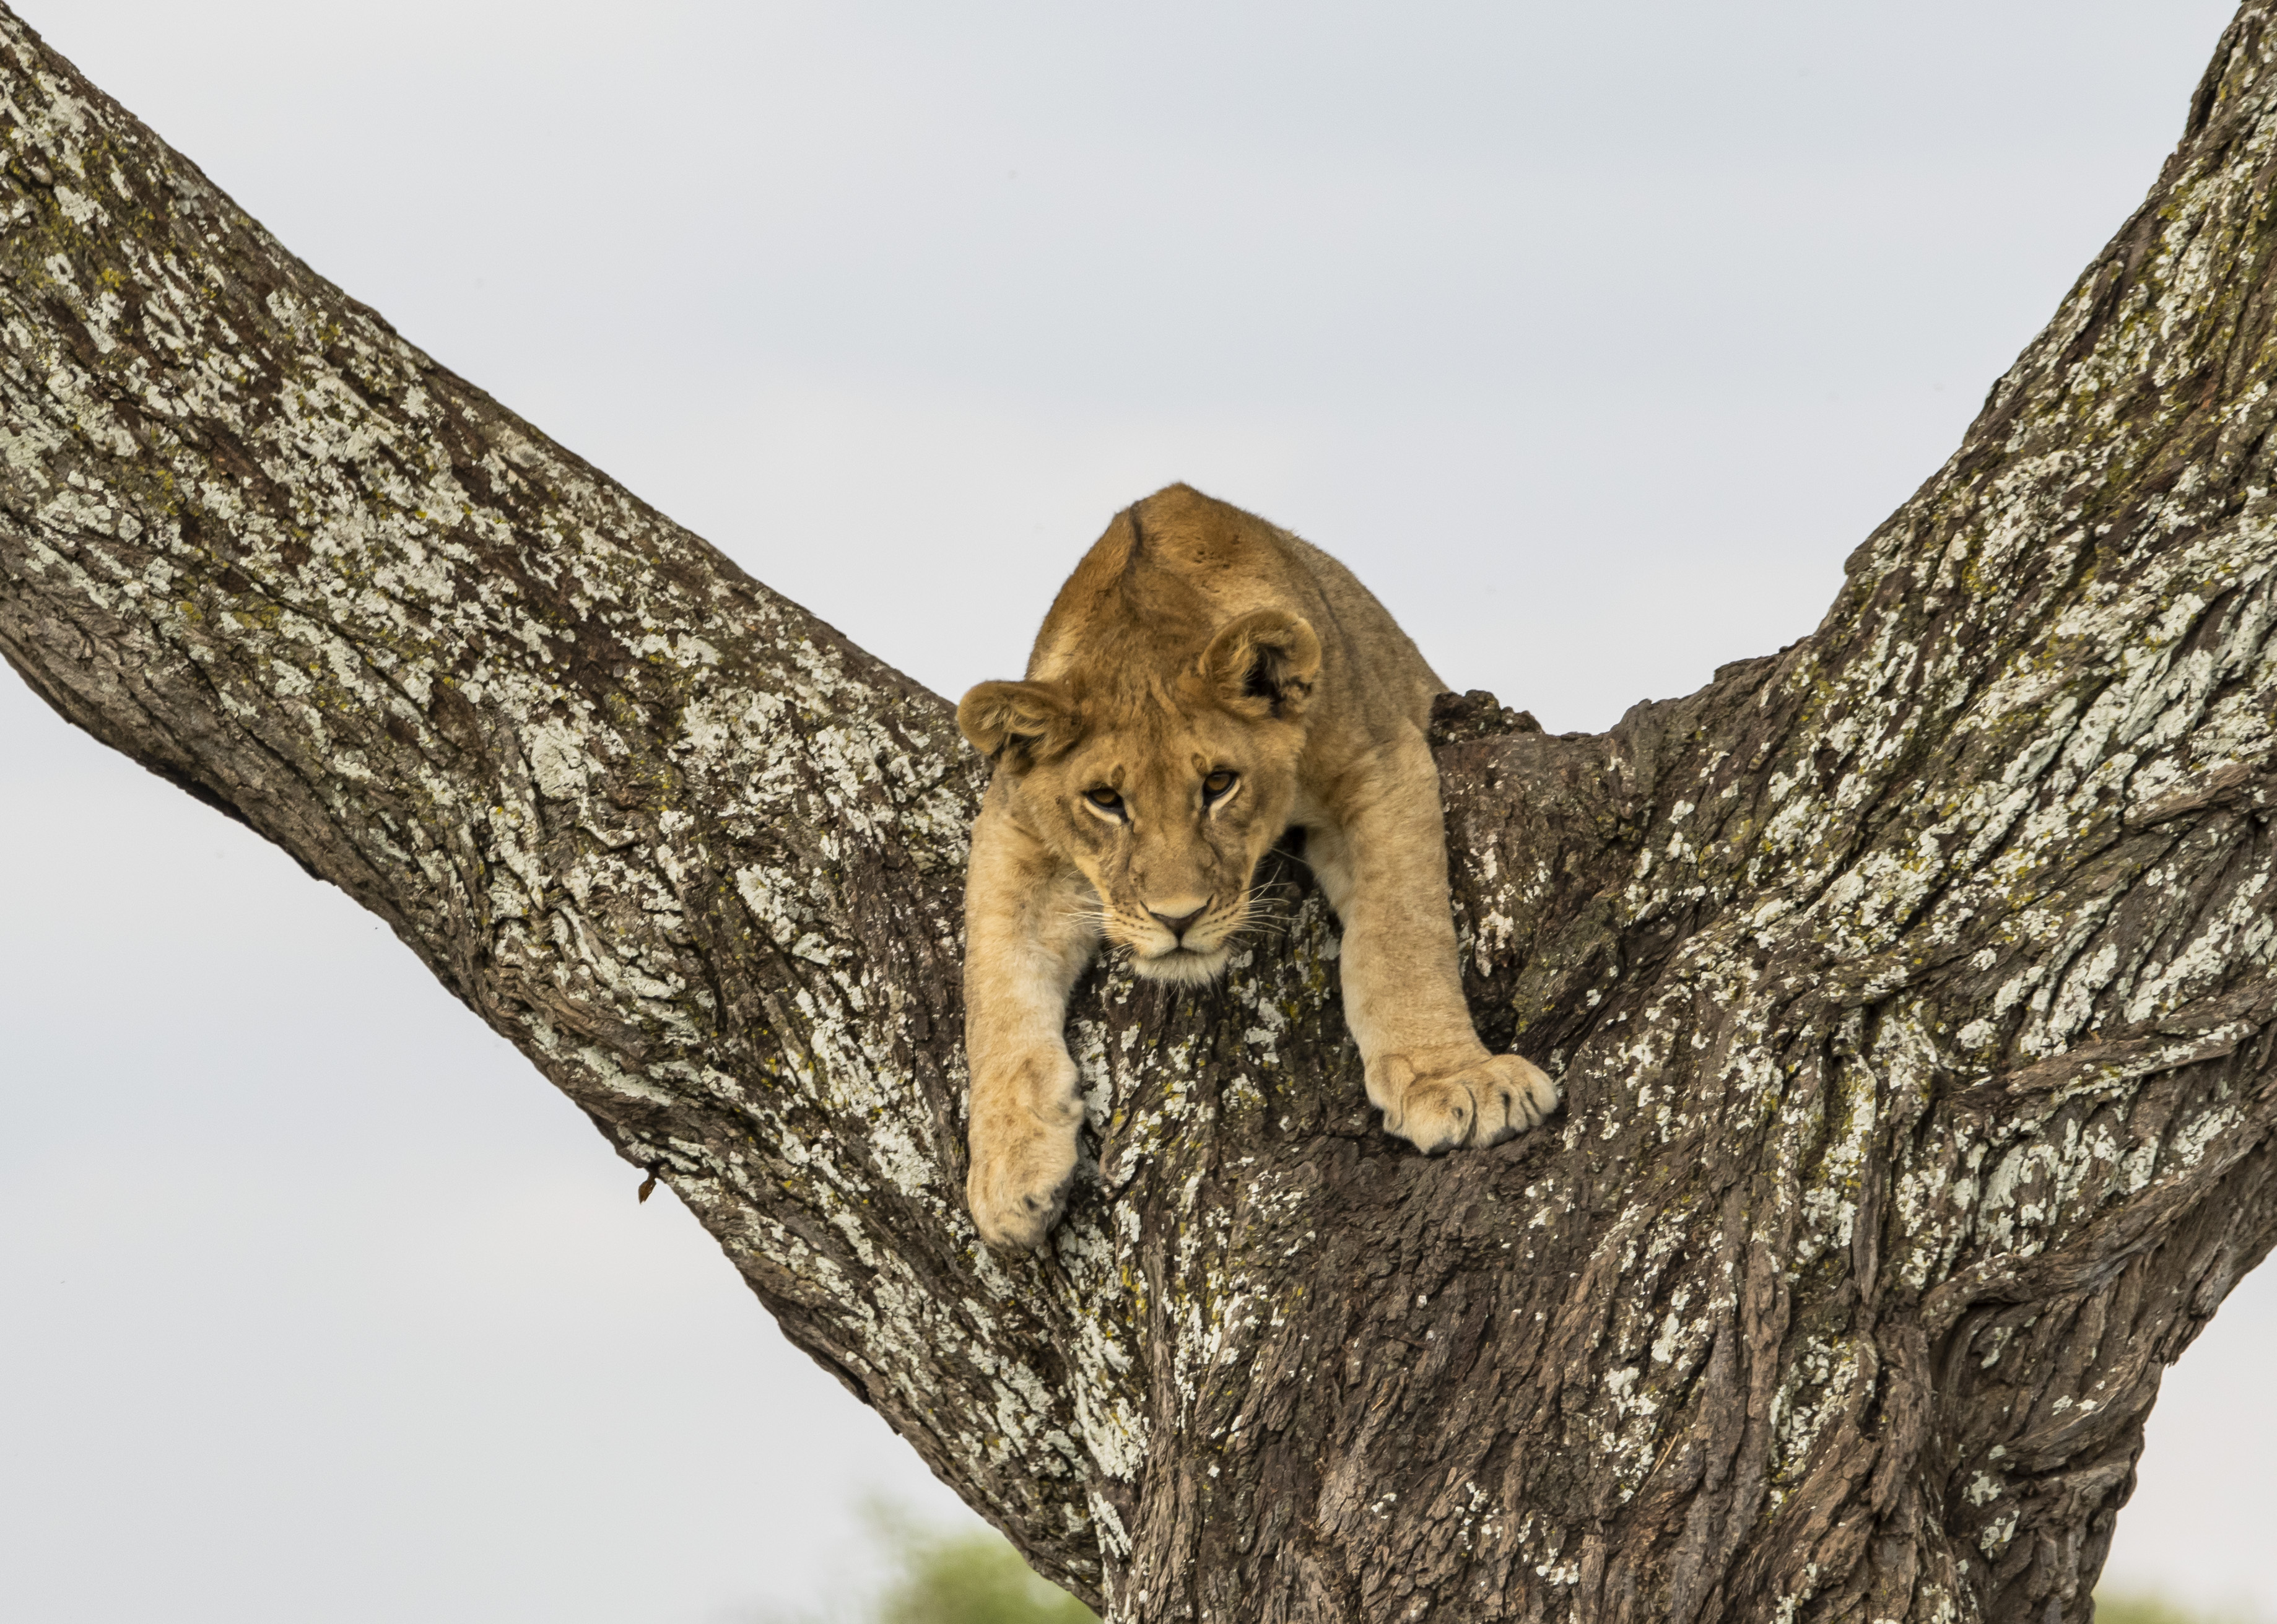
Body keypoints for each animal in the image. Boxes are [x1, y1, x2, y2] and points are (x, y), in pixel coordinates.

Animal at [956, 483, 1560, 1250]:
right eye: (1105, 800)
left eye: (1218, 784)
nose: (1177, 919)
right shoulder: (1011, 825)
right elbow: (995, 987)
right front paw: (1006, 1173)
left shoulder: (1378, 758)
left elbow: (1400, 933)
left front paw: (1456, 1080)